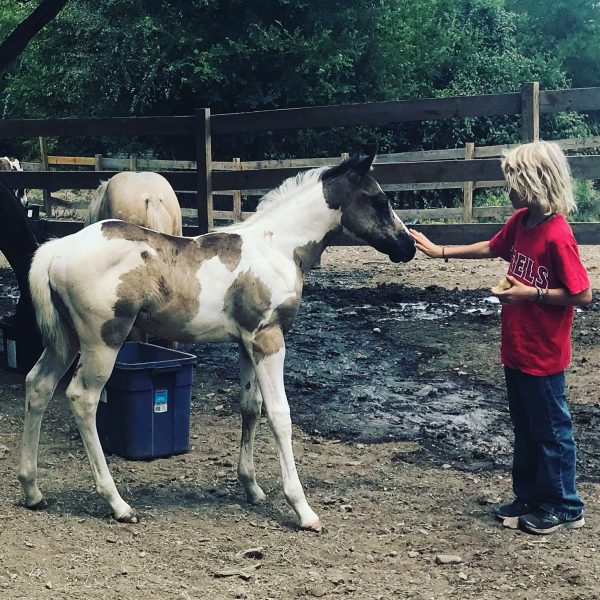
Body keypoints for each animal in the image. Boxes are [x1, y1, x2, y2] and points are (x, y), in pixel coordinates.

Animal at [17, 154, 412, 528]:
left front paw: (252, 487)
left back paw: (33, 490)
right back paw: (117, 504)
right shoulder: (269, 339)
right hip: (103, 341)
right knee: (82, 398)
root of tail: (57, 248)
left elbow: (251, 406)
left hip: (65, 340)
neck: (277, 247)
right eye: (381, 200)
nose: (407, 246)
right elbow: (279, 414)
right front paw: (302, 508)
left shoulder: (246, 343)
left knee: (38, 385)